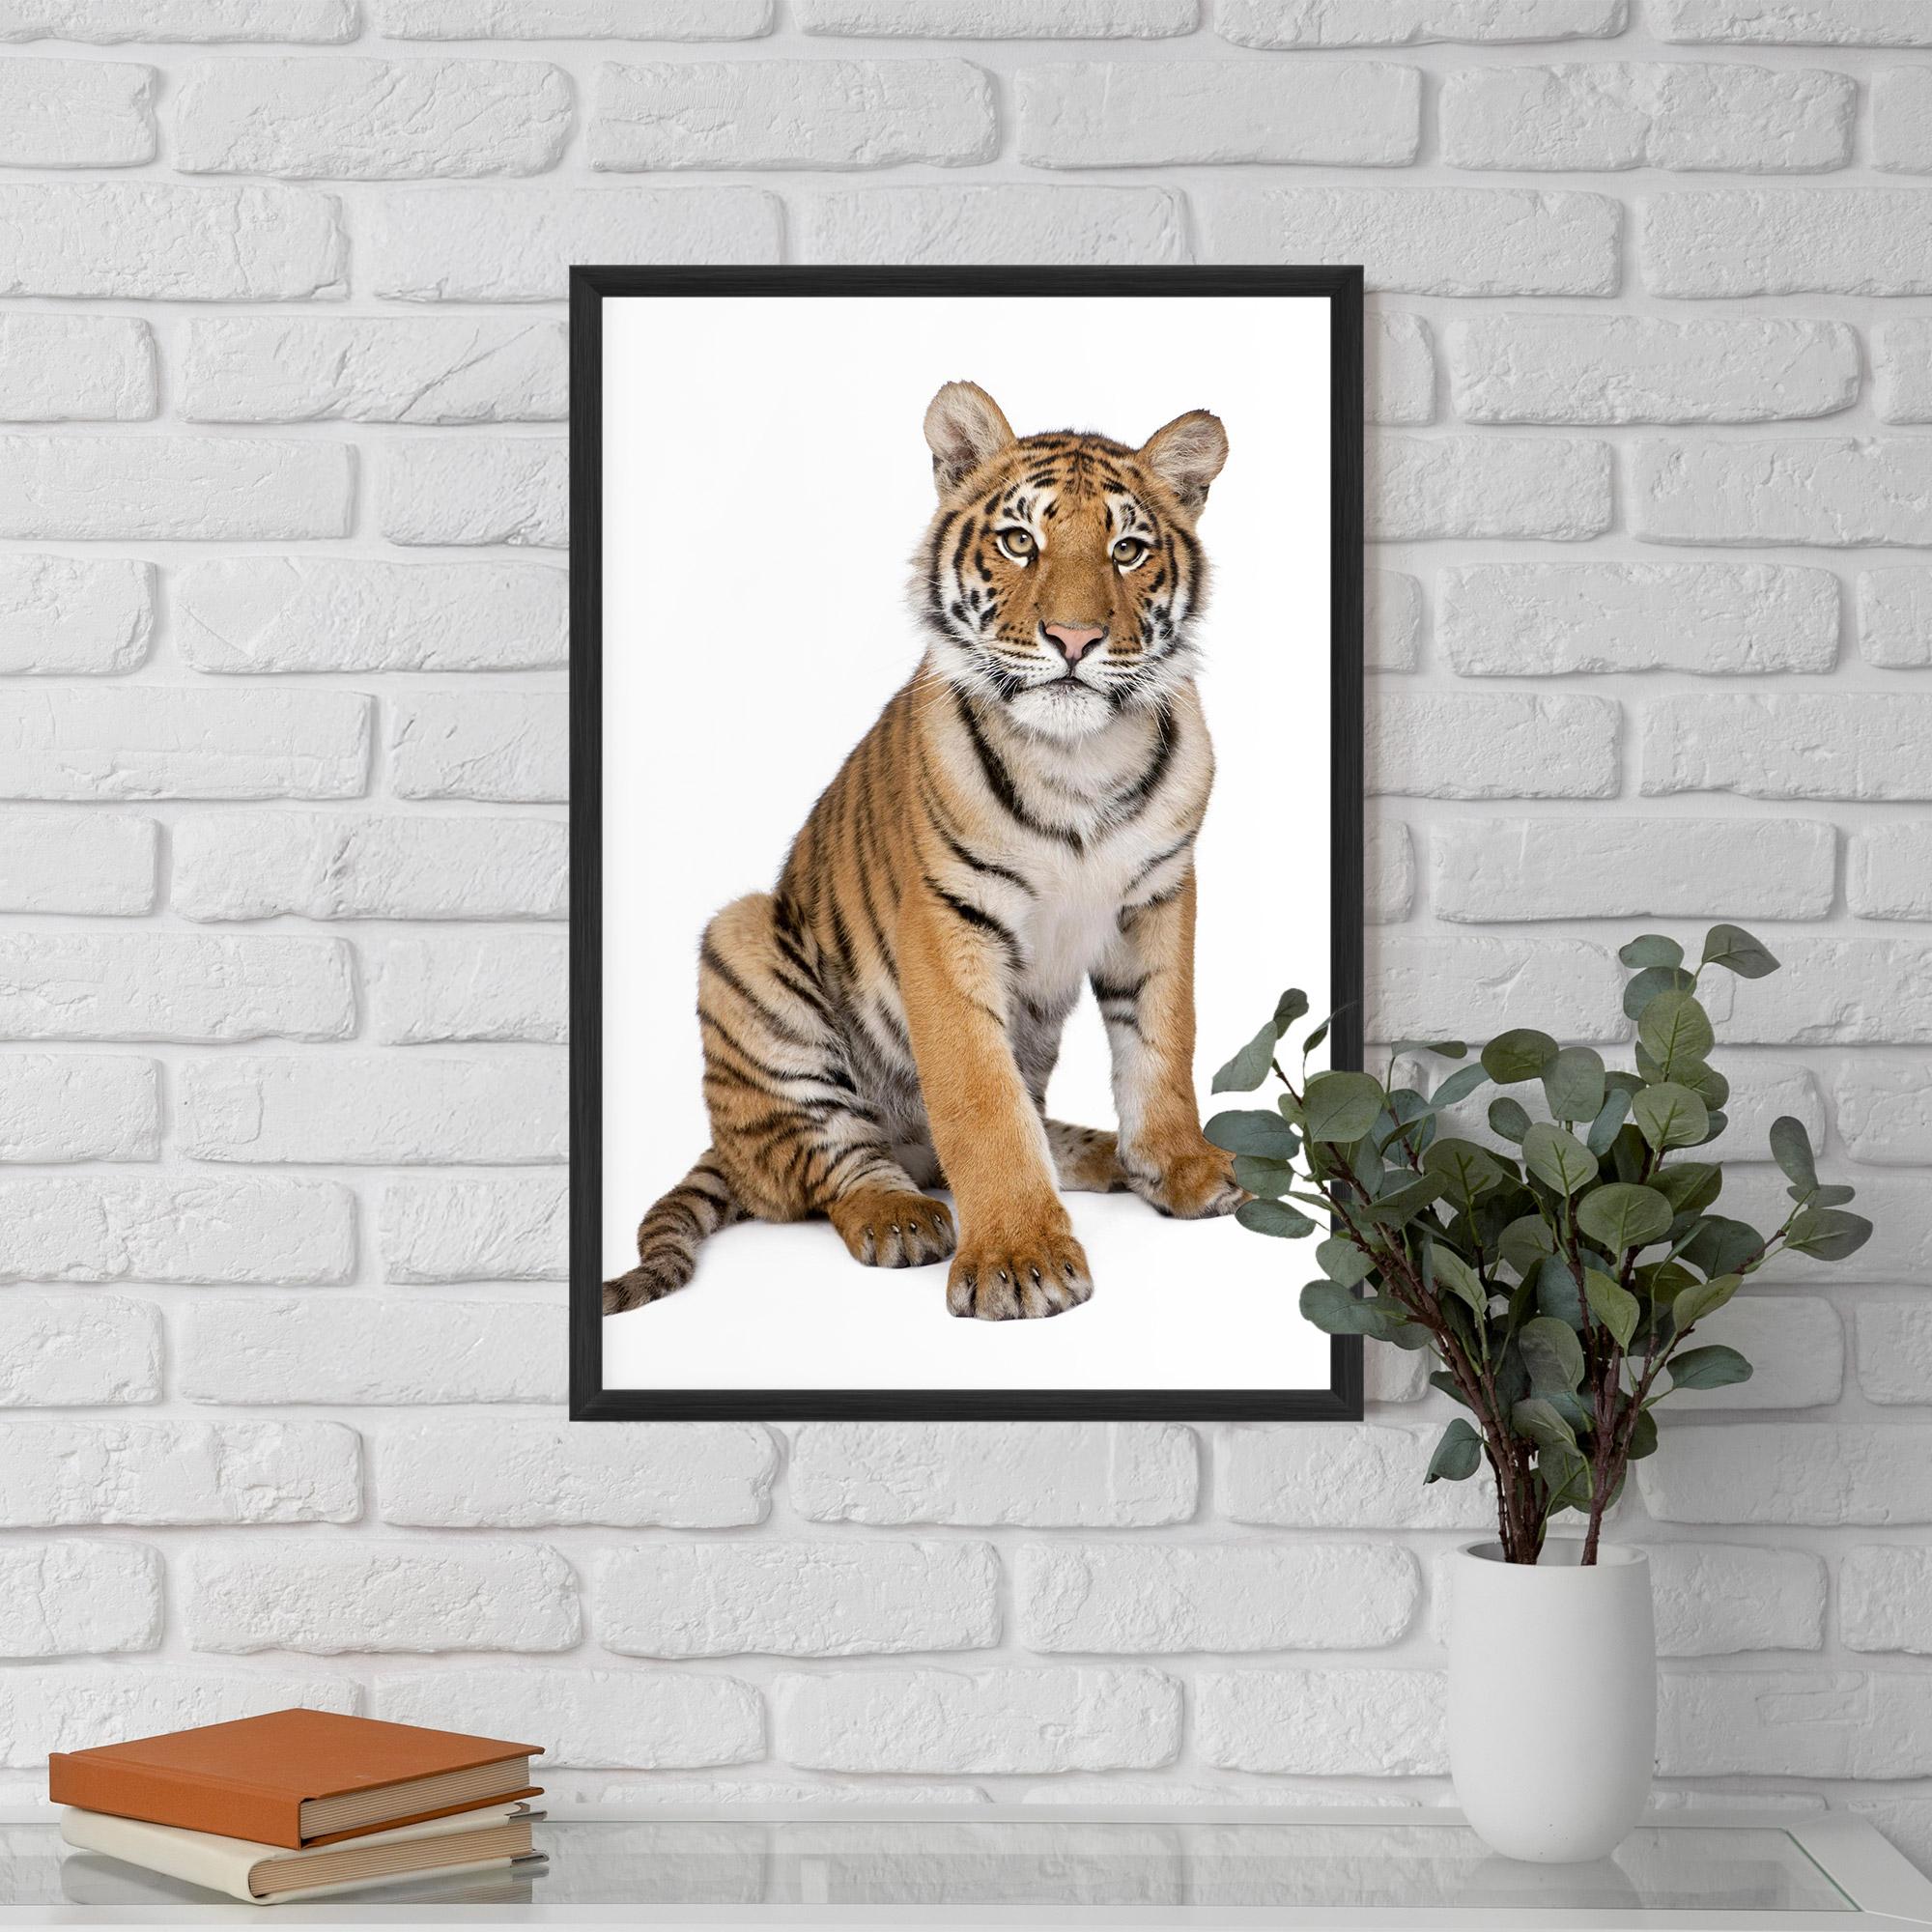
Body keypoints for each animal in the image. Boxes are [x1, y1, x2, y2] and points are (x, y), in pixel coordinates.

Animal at [604, 379, 1242, 1323]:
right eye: (1020, 541)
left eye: (1127, 551)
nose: (1075, 640)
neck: (1078, 759)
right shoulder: (946, 922)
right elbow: (980, 1100)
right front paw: (1020, 1259)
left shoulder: (1158, 897)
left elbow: (1164, 1043)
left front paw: (1181, 1170)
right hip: (743, 941)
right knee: (830, 1166)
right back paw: (901, 1218)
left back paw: (1098, 1155)